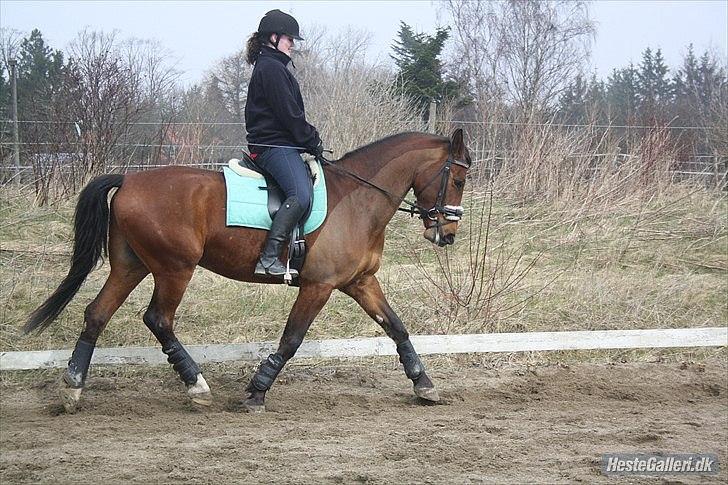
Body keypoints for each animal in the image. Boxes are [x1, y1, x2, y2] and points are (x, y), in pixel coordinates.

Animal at [24, 129, 472, 412]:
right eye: (459, 179)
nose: (448, 233)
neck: (359, 198)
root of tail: (129, 180)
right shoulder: (318, 286)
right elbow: (291, 340)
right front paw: (256, 392)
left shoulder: (361, 282)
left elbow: (396, 327)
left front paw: (423, 384)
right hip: (175, 268)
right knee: (158, 319)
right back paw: (197, 386)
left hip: (131, 266)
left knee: (96, 314)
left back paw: (73, 389)